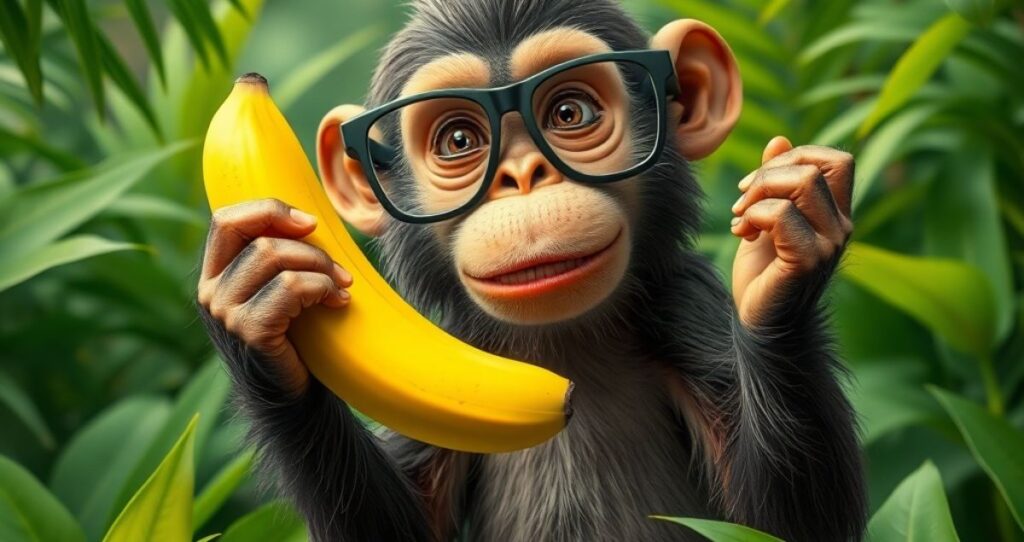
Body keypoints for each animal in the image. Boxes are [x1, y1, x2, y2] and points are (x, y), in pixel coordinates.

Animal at [196, 1, 866, 540]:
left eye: (569, 112)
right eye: (459, 140)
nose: (522, 176)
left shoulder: (686, 310)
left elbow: (779, 525)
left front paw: (783, 251)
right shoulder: (445, 356)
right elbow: (405, 525)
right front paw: (256, 299)